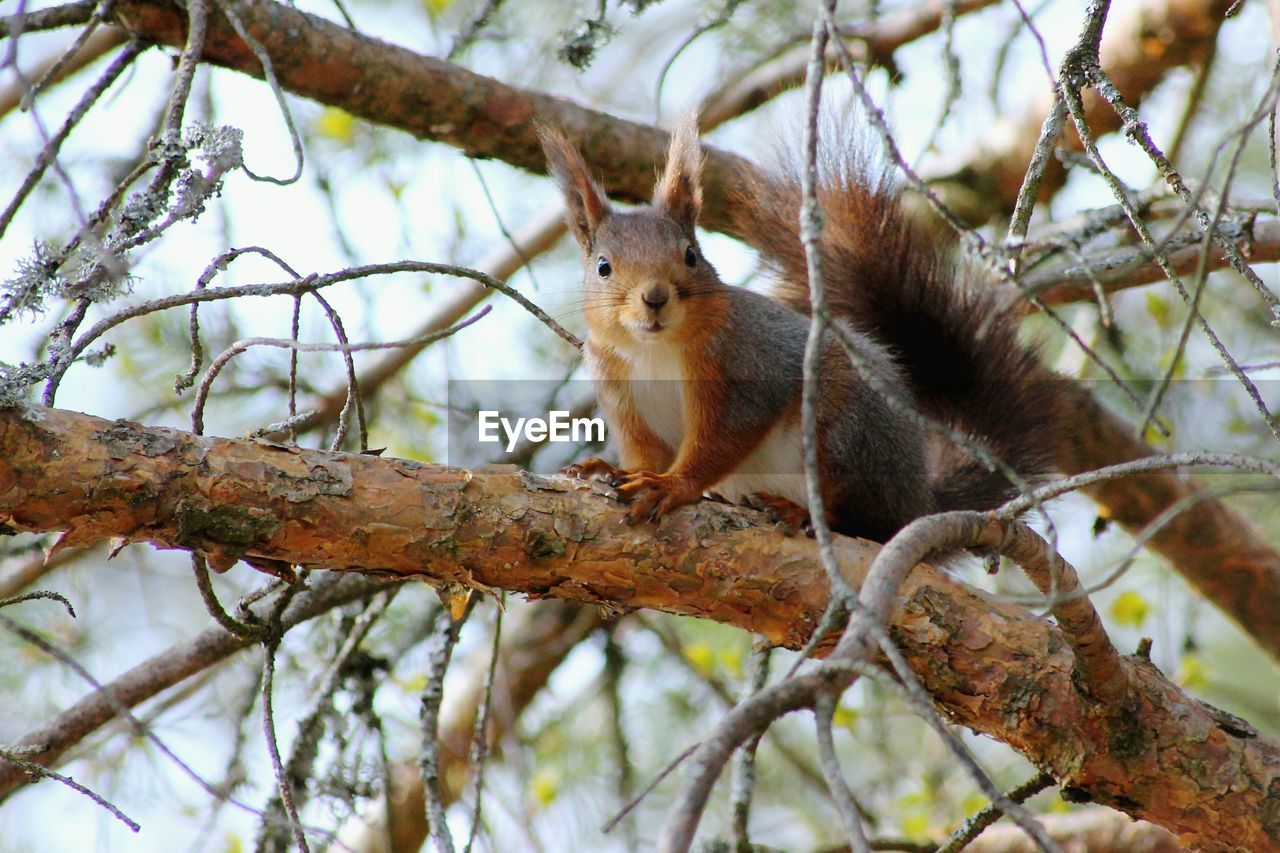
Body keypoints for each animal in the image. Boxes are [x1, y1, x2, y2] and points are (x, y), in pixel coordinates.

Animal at [540, 114, 1059, 537]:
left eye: (690, 256)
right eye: (603, 267)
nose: (654, 297)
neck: (654, 349)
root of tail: (917, 501)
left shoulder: (747, 366)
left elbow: (721, 439)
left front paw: (673, 486)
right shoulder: (620, 392)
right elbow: (643, 452)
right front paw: (608, 472)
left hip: (846, 429)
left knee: (859, 516)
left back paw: (801, 512)